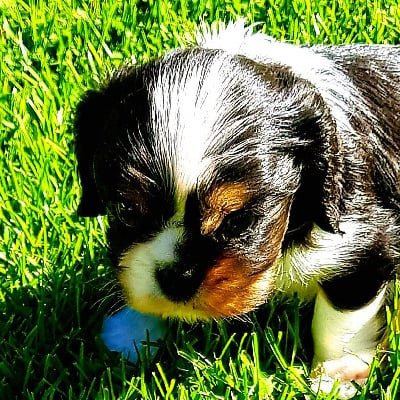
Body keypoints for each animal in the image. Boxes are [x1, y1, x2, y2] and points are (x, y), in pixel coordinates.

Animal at [75, 21, 400, 396]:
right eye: (126, 210)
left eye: (238, 221)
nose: (177, 278)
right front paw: (132, 331)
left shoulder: (365, 242)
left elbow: (338, 320)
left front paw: (334, 378)